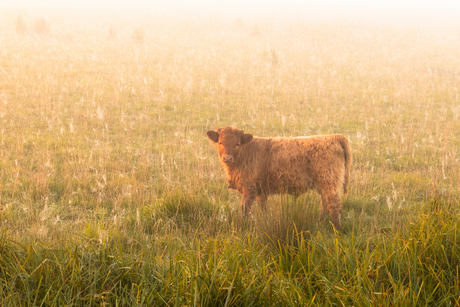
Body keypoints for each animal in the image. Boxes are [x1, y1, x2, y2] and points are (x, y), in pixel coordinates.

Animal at [206, 126, 352, 230]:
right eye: (220, 142)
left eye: (237, 144)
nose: (227, 158)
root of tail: (333, 137)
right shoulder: (261, 191)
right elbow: (263, 207)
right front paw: (265, 220)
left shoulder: (249, 188)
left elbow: (245, 208)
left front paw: (245, 225)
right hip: (323, 184)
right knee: (326, 203)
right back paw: (319, 222)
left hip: (328, 180)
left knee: (334, 203)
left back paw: (337, 229)